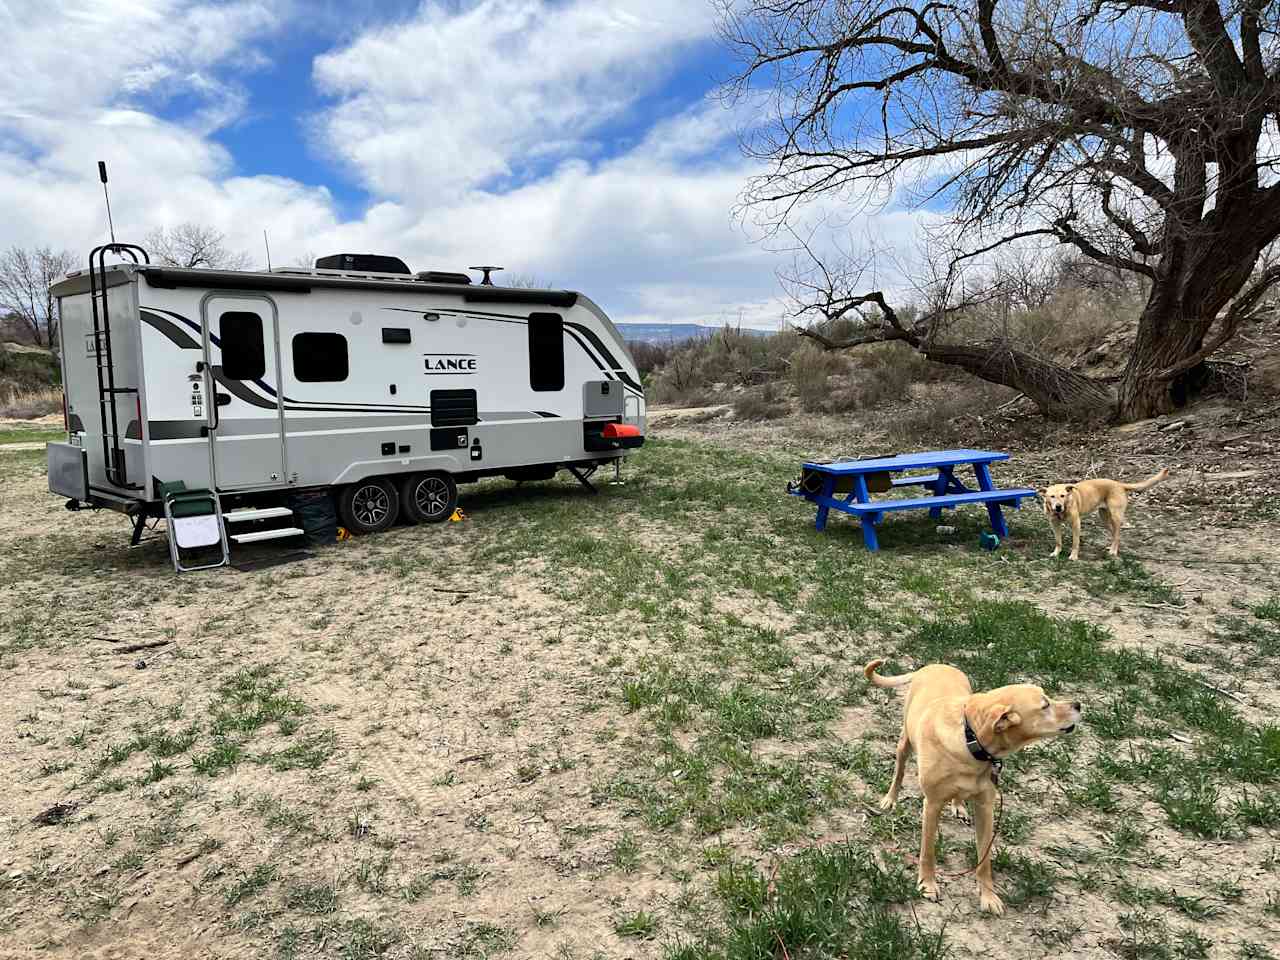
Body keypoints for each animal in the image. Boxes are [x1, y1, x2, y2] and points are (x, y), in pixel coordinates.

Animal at [870, 660, 1080, 916]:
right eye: (1045, 705)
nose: (1078, 704)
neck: (970, 740)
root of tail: (934, 664)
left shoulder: (985, 808)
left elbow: (984, 860)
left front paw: (988, 896)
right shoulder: (932, 805)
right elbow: (928, 853)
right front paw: (927, 885)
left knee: (959, 796)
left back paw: (959, 806)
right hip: (905, 743)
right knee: (899, 770)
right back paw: (890, 799)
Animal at [1039, 468, 1172, 560]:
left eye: (1063, 496)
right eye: (1052, 496)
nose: (1058, 506)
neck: (1063, 509)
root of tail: (1119, 484)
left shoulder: (1076, 524)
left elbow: (1075, 542)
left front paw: (1074, 556)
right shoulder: (1054, 524)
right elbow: (1058, 541)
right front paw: (1056, 553)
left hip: (1115, 516)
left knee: (1117, 534)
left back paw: (1113, 551)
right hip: (1104, 518)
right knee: (1114, 533)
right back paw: (1112, 547)